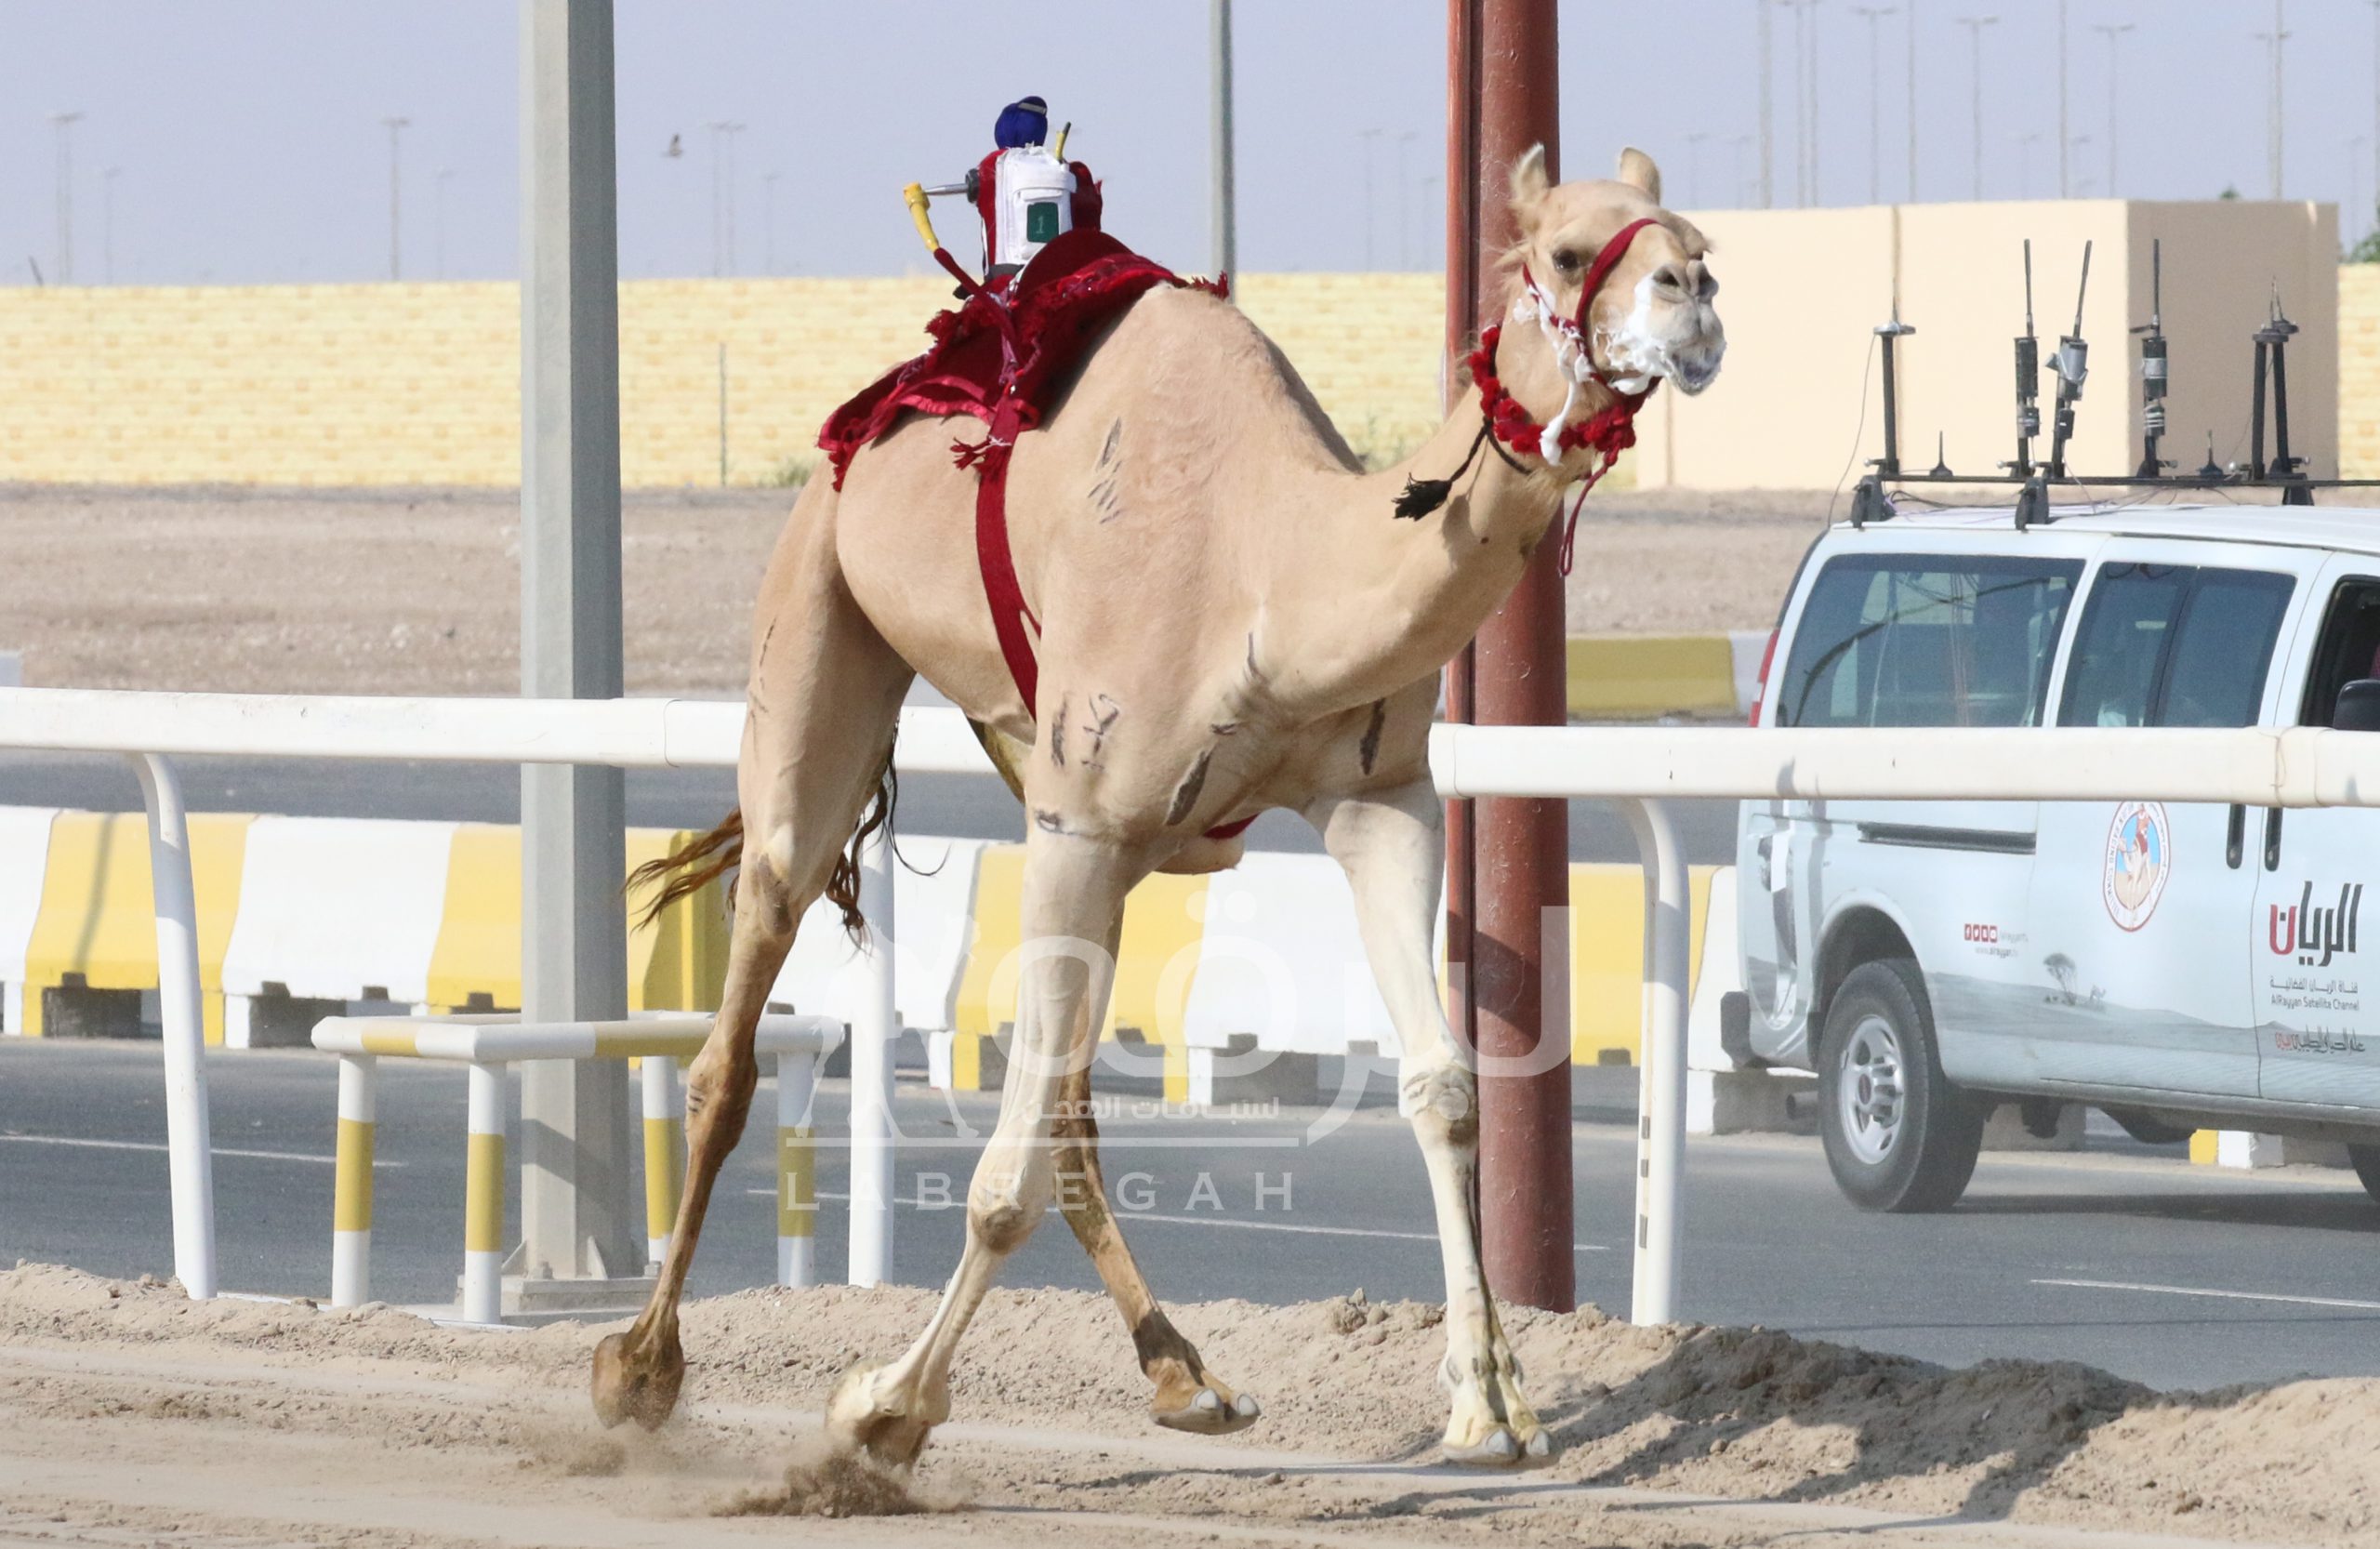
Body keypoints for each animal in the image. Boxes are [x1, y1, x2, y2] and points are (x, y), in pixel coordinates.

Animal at [585, 152, 1723, 1475]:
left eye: (1694, 240)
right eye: (1561, 251)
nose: (1692, 303)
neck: (1268, 573)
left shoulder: (1377, 799)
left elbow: (1442, 1088)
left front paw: (1491, 1404)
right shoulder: (1080, 821)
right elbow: (999, 1183)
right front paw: (880, 1410)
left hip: (1076, 807)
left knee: (1070, 1099)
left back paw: (1187, 1373)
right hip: (823, 623)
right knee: (743, 1007)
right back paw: (639, 1366)